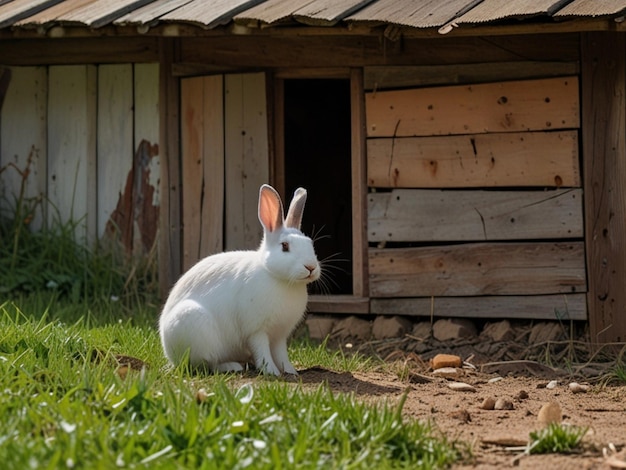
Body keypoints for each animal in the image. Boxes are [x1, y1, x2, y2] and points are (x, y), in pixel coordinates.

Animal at [158, 184, 320, 374]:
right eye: (285, 246)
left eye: (310, 243)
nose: (311, 267)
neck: (277, 277)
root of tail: (167, 348)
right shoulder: (256, 331)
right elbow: (262, 351)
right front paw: (271, 371)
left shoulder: (279, 335)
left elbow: (281, 354)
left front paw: (289, 371)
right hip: (195, 327)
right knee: (207, 364)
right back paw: (232, 366)